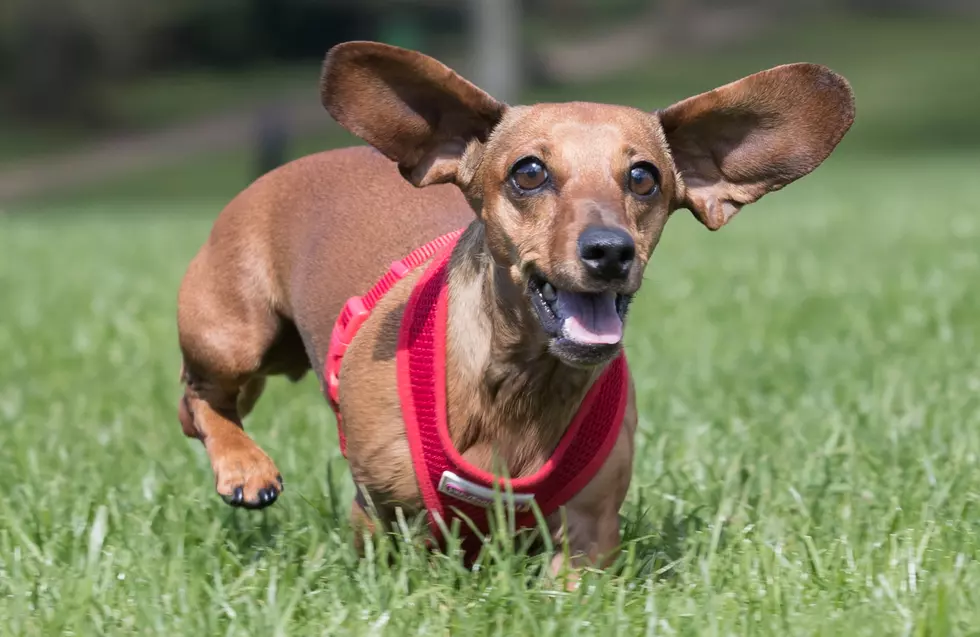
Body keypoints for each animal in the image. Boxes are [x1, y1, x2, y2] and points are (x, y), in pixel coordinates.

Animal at [180, 38, 852, 568]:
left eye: (644, 177)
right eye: (529, 172)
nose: (610, 251)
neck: (523, 385)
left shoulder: (587, 535)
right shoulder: (382, 517)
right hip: (234, 337)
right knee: (199, 400)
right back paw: (245, 468)